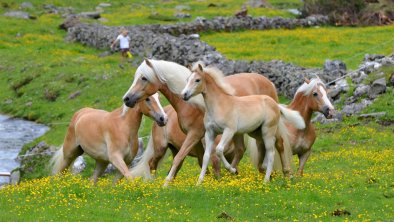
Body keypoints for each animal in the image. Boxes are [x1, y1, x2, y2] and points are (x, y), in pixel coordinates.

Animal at [123, 59, 286, 186]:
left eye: (143, 78)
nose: (126, 99)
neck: (191, 104)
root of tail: (269, 82)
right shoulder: (199, 137)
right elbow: (203, 160)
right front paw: (205, 181)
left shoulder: (195, 134)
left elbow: (182, 158)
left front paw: (167, 183)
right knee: (247, 149)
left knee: (277, 145)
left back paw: (284, 173)